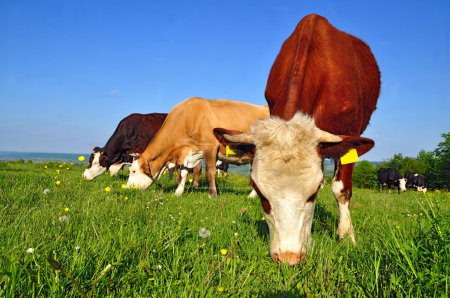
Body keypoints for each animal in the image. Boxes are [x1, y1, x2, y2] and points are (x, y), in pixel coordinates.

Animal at [125, 96, 268, 197]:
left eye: (133, 171)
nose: (127, 188)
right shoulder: (188, 151)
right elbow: (183, 172)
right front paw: (178, 192)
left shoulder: (210, 147)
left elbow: (210, 172)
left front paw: (212, 194)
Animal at [214, 15, 380, 264]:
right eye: (260, 192)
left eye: (314, 193)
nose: (289, 257)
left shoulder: (351, 132)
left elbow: (341, 189)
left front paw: (347, 236)